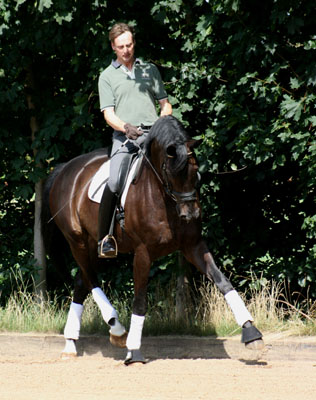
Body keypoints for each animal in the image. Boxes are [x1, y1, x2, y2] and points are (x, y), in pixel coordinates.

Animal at [42, 115, 264, 362]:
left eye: (196, 171)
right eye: (170, 172)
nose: (190, 214)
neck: (163, 198)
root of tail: (65, 168)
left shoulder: (193, 245)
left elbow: (222, 281)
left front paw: (252, 333)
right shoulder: (142, 252)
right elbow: (140, 300)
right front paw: (134, 351)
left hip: (95, 245)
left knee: (82, 281)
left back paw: (74, 342)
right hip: (77, 240)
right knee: (91, 279)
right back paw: (116, 328)